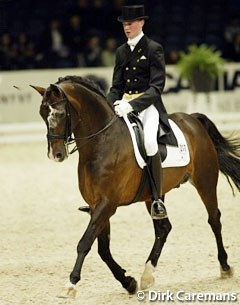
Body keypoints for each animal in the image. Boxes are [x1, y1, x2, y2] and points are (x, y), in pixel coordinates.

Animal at [31, 75, 239, 296]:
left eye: (60, 114)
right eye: (42, 113)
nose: (55, 155)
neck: (101, 142)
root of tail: (192, 119)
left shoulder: (107, 204)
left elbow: (85, 242)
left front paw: (71, 284)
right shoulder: (97, 206)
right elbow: (103, 249)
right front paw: (128, 282)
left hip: (205, 181)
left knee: (214, 219)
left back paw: (225, 267)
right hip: (154, 195)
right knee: (164, 228)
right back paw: (147, 276)